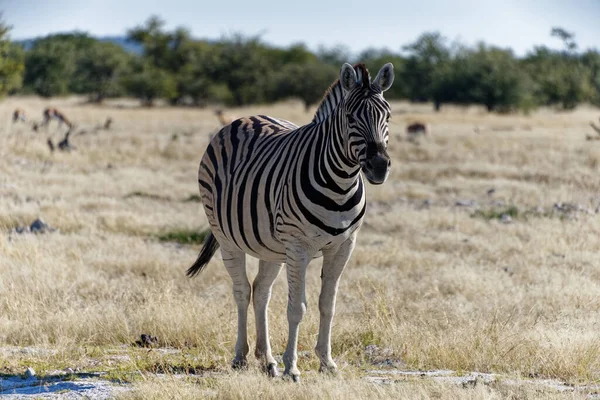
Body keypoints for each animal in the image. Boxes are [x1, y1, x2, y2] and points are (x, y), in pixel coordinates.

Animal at [188, 62, 394, 382]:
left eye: (388, 116)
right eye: (350, 118)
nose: (379, 167)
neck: (340, 183)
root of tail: (244, 118)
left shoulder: (344, 246)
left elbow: (327, 304)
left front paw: (326, 362)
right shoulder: (298, 247)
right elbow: (297, 307)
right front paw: (292, 368)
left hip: (271, 247)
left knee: (261, 291)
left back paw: (266, 359)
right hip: (226, 236)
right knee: (241, 291)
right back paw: (241, 357)